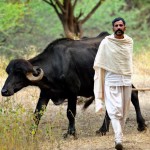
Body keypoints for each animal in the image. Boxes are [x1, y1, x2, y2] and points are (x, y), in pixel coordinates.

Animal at [1, 31, 146, 138]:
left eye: (19, 72)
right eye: (9, 72)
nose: (4, 91)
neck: (55, 65)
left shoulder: (73, 91)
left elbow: (70, 113)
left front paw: (71, 133)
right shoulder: (45, 93)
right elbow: (37, 114)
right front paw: (31, 134)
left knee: (133, 93)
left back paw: (141, 125)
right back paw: (103, 129)